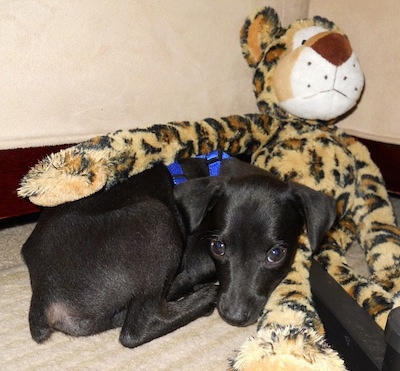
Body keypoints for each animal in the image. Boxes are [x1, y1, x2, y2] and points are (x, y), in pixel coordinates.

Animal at [21, 151, 334, 348]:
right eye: (218, 247)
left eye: (275, 254)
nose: (233, 316)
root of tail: (43, 296)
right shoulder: (196, 253)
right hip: (155, 218)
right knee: (137, 326)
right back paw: (203, 297)